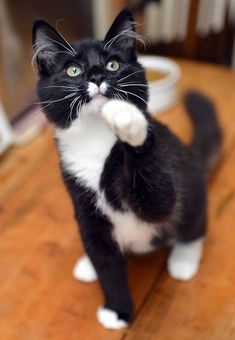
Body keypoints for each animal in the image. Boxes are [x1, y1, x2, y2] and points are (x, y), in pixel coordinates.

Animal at [32, 7, 221, 330]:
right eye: (73, 70)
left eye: (113, 64)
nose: (97, 76)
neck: (95, 139)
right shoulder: (83, 203)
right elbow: (105, 260)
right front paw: (117, 309)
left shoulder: (162, 182)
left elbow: (160, 201)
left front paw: (129, 120)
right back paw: (87, 264)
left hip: (192, 188)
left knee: (193, 225)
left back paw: (184, 259)